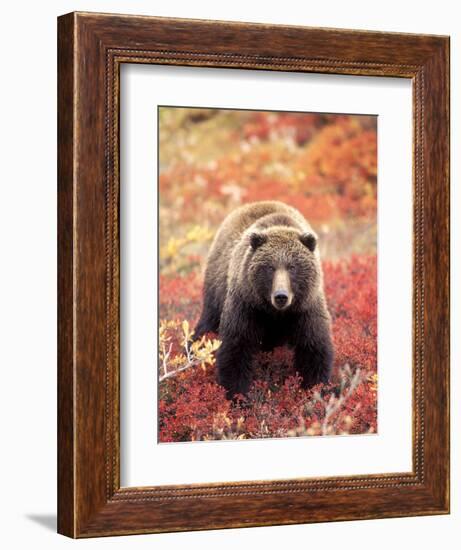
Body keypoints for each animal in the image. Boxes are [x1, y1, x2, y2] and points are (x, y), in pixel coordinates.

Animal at [193, 201, 330, 398]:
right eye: (270, 267)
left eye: (292, 267)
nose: (281, 296)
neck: (276, 313)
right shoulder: (247, 305)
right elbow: (236, 347)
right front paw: (238, 395)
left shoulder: (306, 308)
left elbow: (314, 348)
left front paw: (316, 390)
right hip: (216, 289)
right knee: (207, 323)